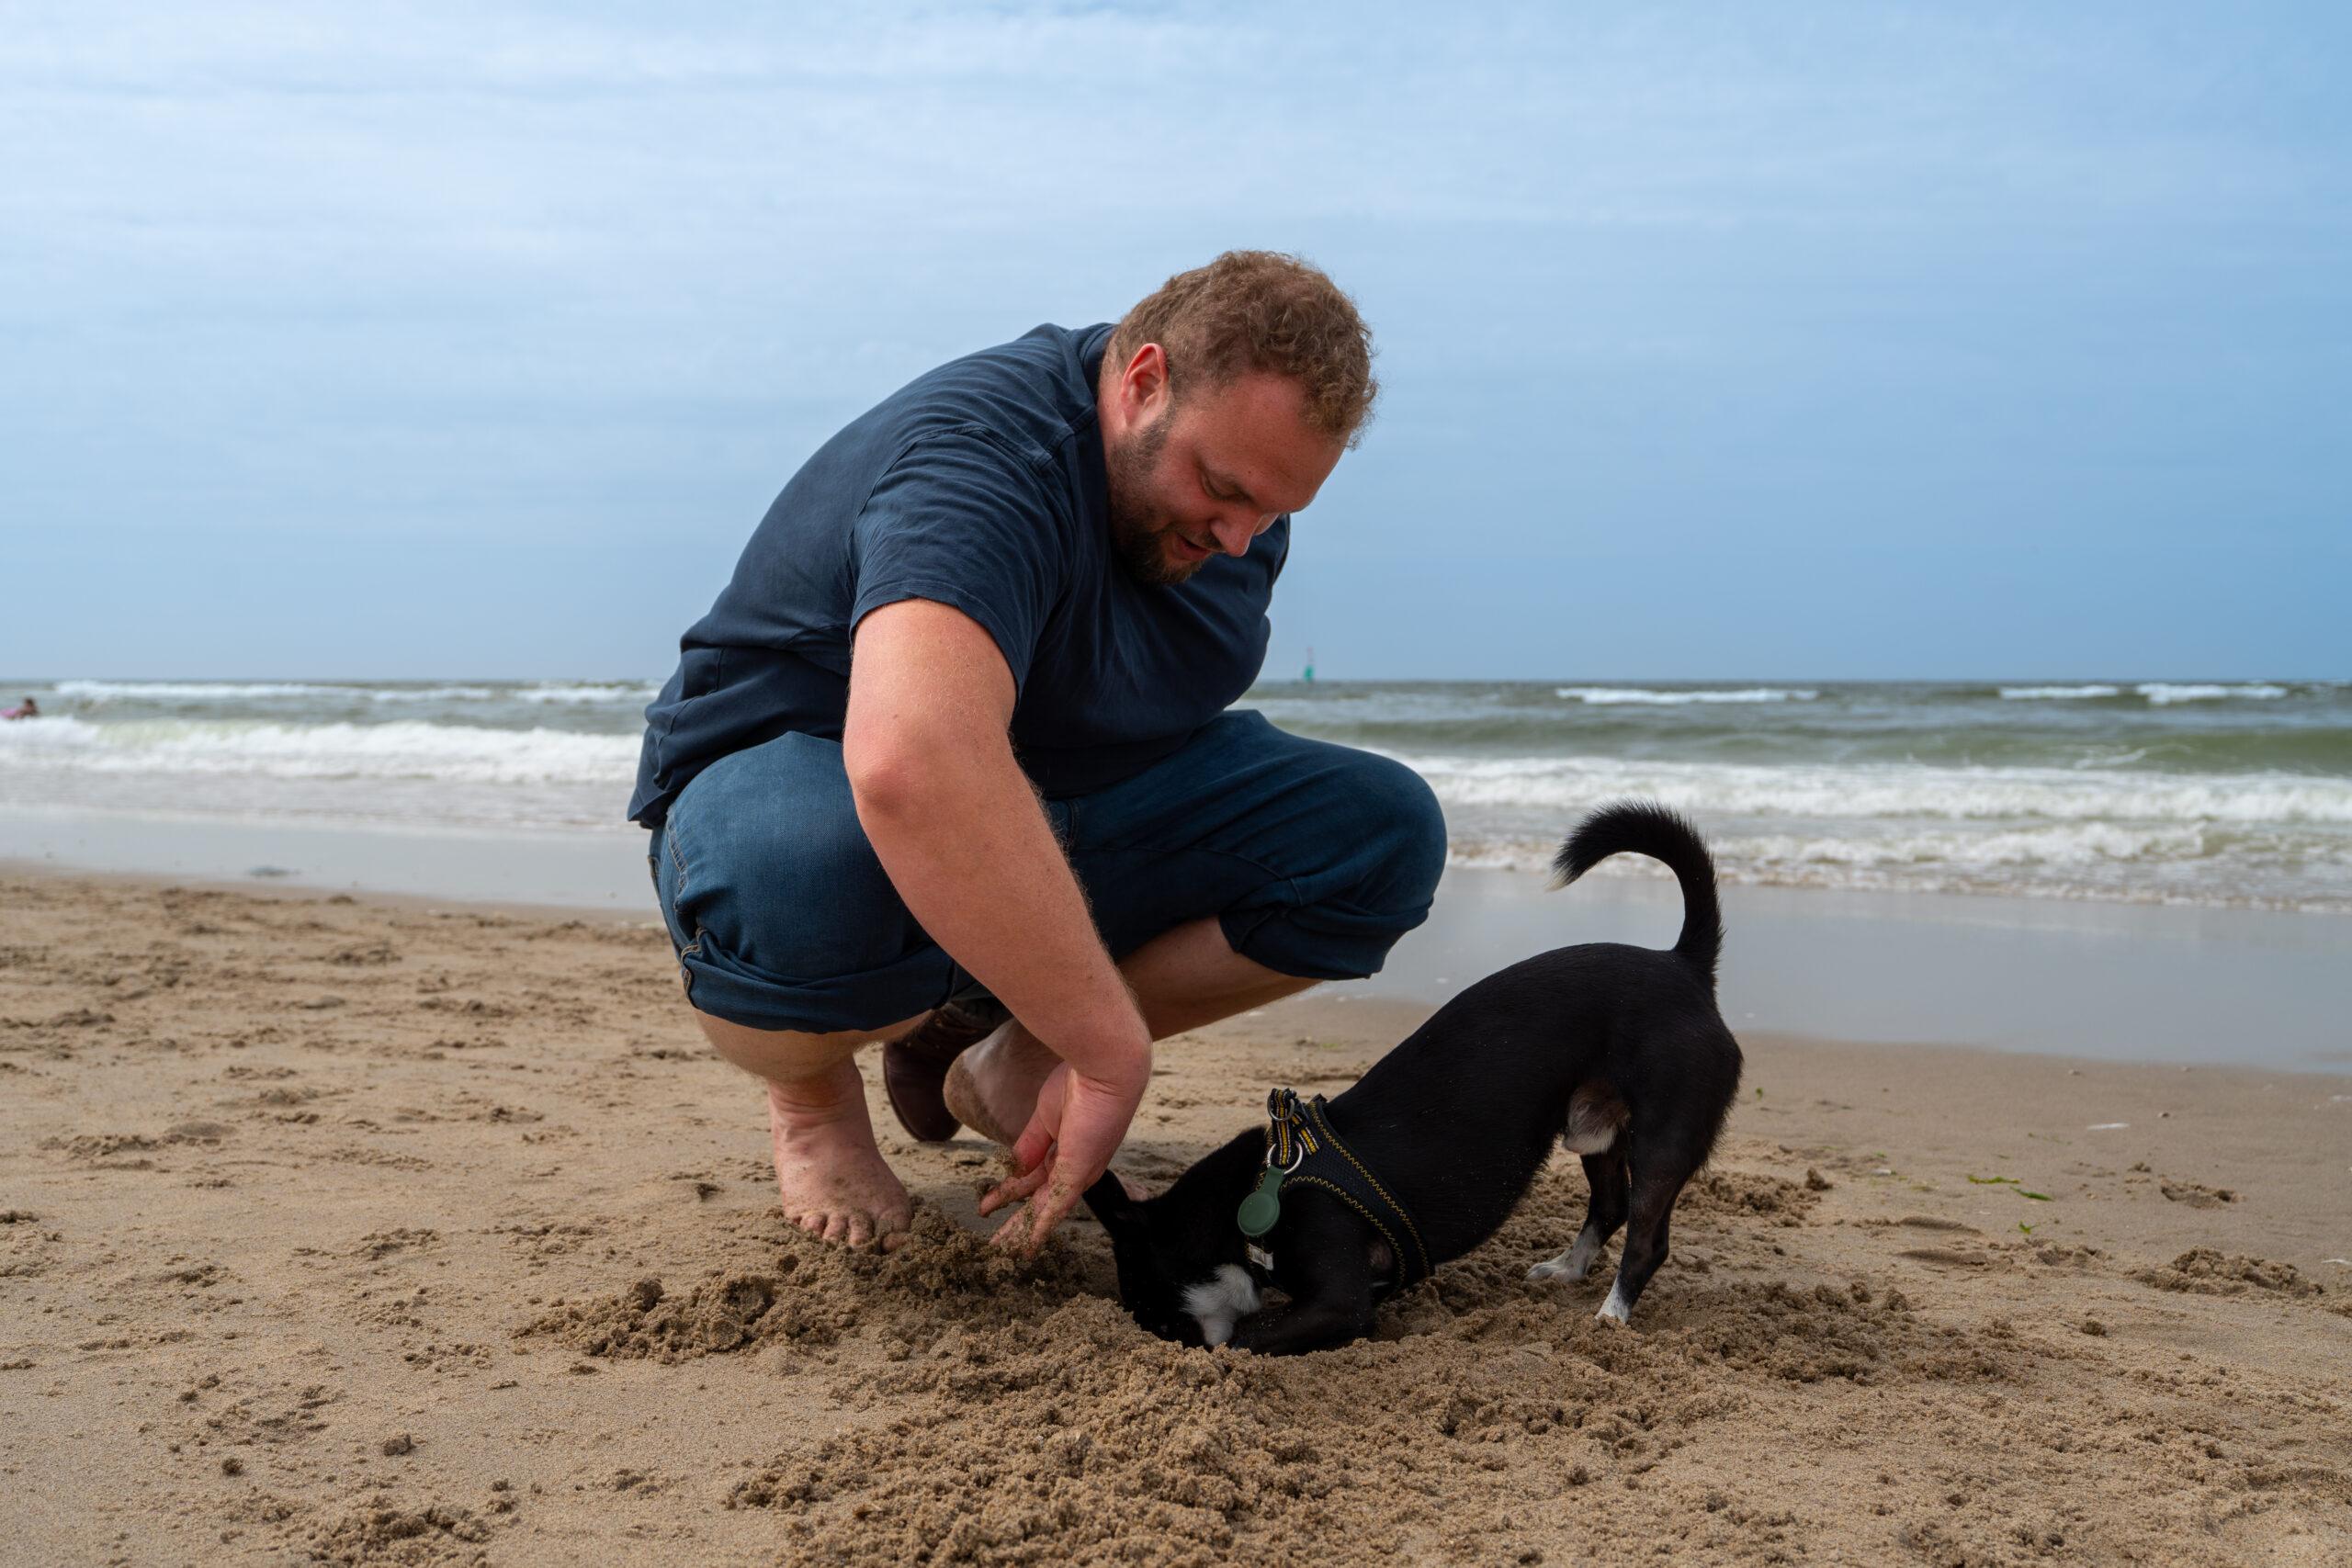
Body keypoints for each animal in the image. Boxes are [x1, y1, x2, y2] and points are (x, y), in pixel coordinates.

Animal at [1083, 800, 1743, 1356]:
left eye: (1156, 1317)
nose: (1163, 1346)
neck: (1257, 1188)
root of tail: (1682, 964)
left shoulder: (1338, 1304)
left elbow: (1247, 1335)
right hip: (1596, 1129)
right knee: (1609, 1204)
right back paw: (1567, 1269)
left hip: (1663, 1139)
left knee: (1646, 1237)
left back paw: (1611, 1315)